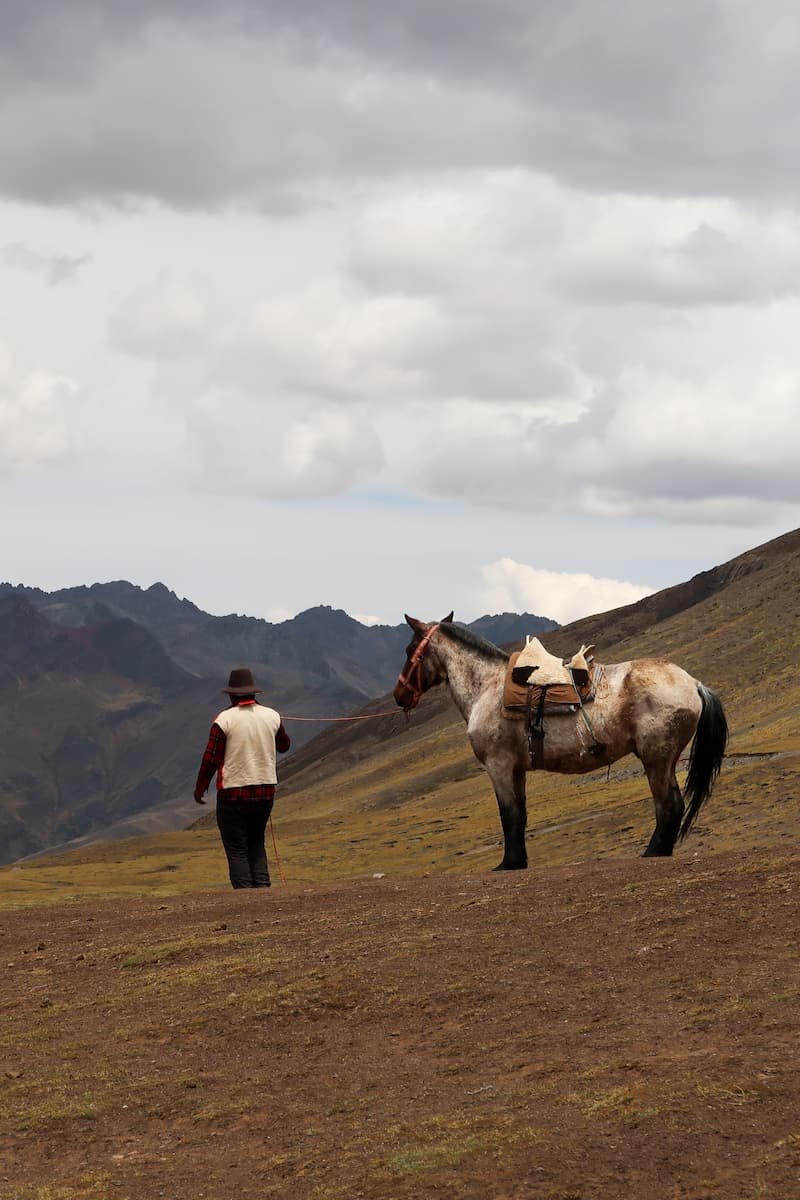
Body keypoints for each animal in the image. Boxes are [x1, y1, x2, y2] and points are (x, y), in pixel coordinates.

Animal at [393, 615, 728, 869]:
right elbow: (520, 814)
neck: (486, 686)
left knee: (668, 805)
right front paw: (518, 861)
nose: (400, 695)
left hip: (656, 758)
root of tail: (694, 684)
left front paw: (508, 863)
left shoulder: (498, 765)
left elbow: (508, 813)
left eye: (410, 650)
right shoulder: (516, 768)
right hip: (662, 759)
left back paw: (653, 852)